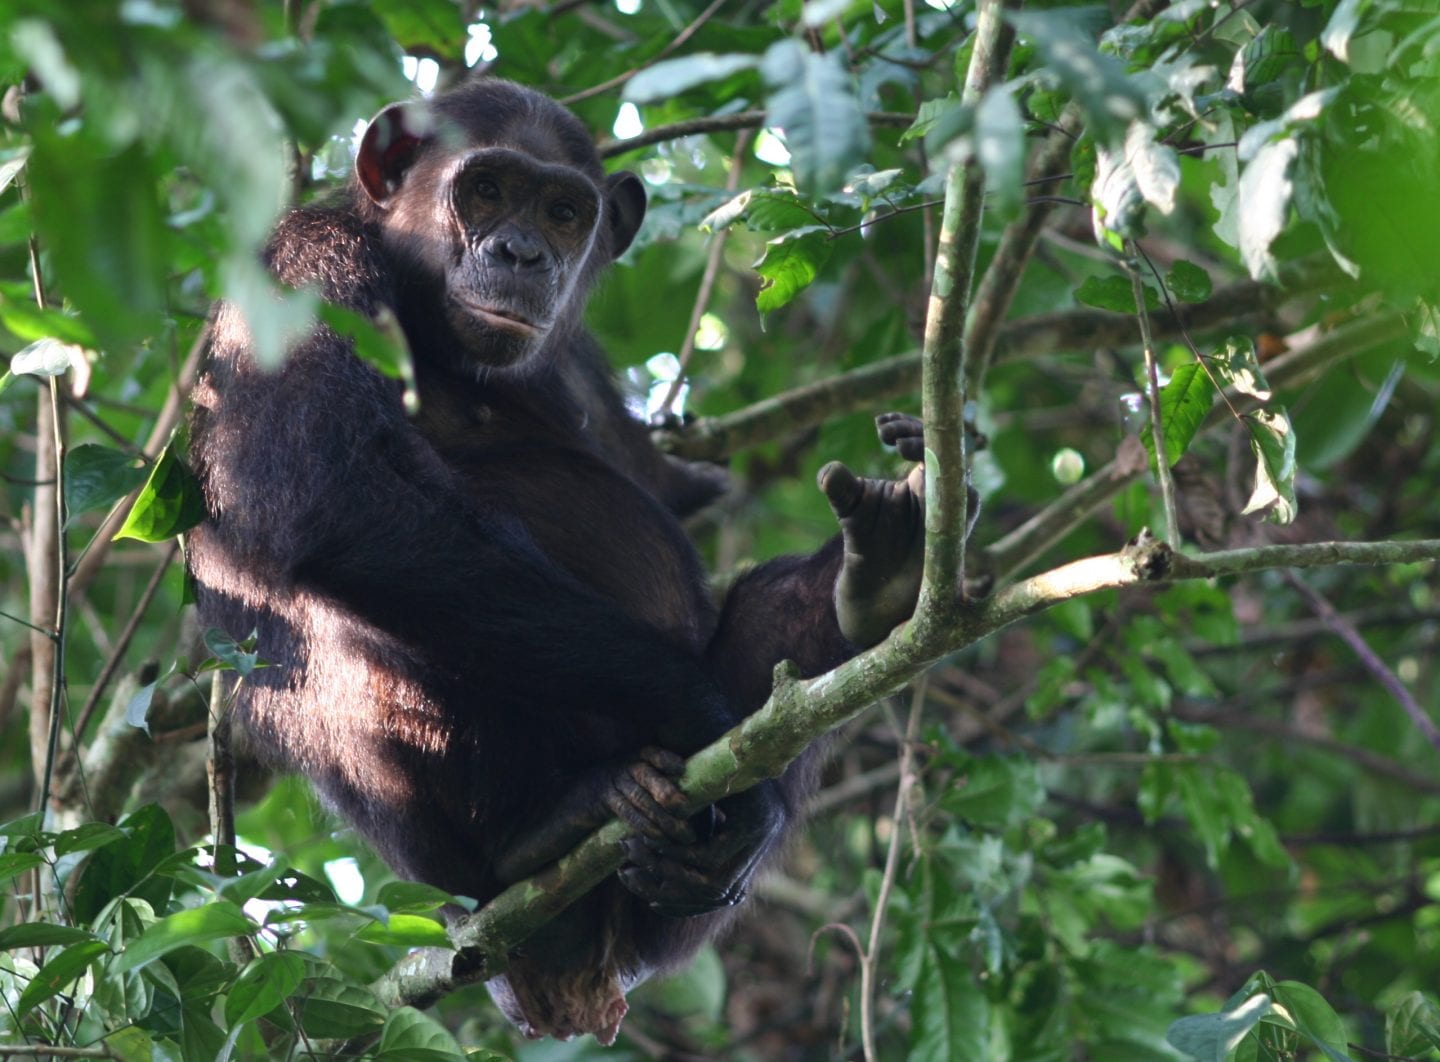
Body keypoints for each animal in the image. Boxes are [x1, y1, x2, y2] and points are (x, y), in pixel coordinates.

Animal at [187, 78, 934, 1043]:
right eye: (487, 190)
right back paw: (544, 827)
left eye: (565, 211)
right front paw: (701, 721)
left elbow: (672, 493)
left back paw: (876, 576)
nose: (522, 251)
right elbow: (336, 494)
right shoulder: (299, 267)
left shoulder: (587, 365)